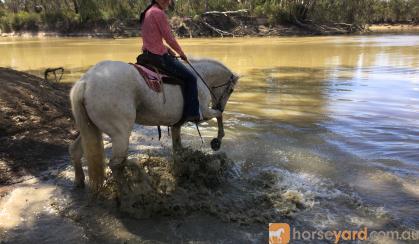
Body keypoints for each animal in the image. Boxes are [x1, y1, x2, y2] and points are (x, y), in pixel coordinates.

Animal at [69, 58, 240, 190]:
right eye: (231, 90)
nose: (220, 105)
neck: (200, 77)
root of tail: (85, 82)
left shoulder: (177, 124)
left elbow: (177, 147)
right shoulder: (204, 112)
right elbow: (219, 116)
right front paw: (217, 140)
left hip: (91, 127)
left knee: (77, 150)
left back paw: (79, 180)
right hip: (120, 133)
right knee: (117, 163)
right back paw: (131, 187)